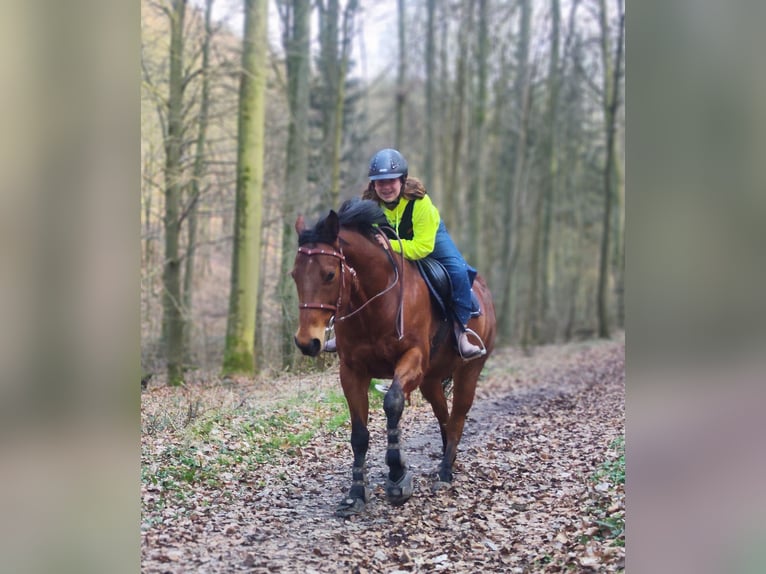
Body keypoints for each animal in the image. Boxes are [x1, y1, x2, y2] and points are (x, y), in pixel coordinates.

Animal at [290, 200, 498, 520]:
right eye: (294, 275)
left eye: (329, 274)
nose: (307, 342)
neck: (373, 301)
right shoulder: (351, 371)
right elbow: (359, 434)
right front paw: (355, 494)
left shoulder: (412, 359)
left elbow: (393, 403)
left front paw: (398, 476)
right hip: (431, 381)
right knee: (444, 416)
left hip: (469, 371)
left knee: (458, 417)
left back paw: (445, 472)